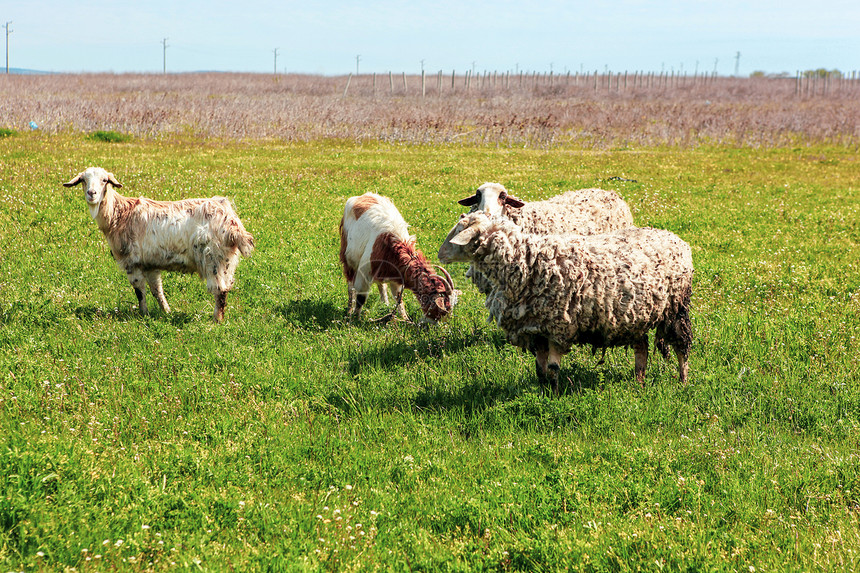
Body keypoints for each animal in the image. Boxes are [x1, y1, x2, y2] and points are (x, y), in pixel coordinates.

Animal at [64, 165, 255, 322]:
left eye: (105, 180)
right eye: (83, 180)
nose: (92, 194)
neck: (119, 214)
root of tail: (233, 224)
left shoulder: (131, 262)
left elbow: (139, 291)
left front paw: (144, 314)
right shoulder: (151, 264)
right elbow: (157, 290)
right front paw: (166, 311)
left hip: (213, 258)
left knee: (220, 290)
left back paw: (216, 320)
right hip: (227, 261)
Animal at [338, 192, 456, 324]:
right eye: (440, 310)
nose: (432, 325)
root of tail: (362, 196)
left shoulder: (396, 275)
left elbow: (398, 298)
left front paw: (404, 318)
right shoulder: (365, 272)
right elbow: (361, 297)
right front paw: (355, 318)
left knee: (381, 285)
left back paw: (385, 304)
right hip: (348, 255)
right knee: (350, 284)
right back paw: (349, 310)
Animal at [440, 211, 696, 394]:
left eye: (459, 232)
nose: (440, 254)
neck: (527, 261)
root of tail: (676, 238)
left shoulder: (558, 327)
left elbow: (553, 370)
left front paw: (554, 396)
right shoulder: (536, 327)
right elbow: (540, 369)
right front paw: (542, 392)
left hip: (677, 306)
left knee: (682, 345)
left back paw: (682, 381)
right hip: (636, 314)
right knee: (641, 347)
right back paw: (639, 382)